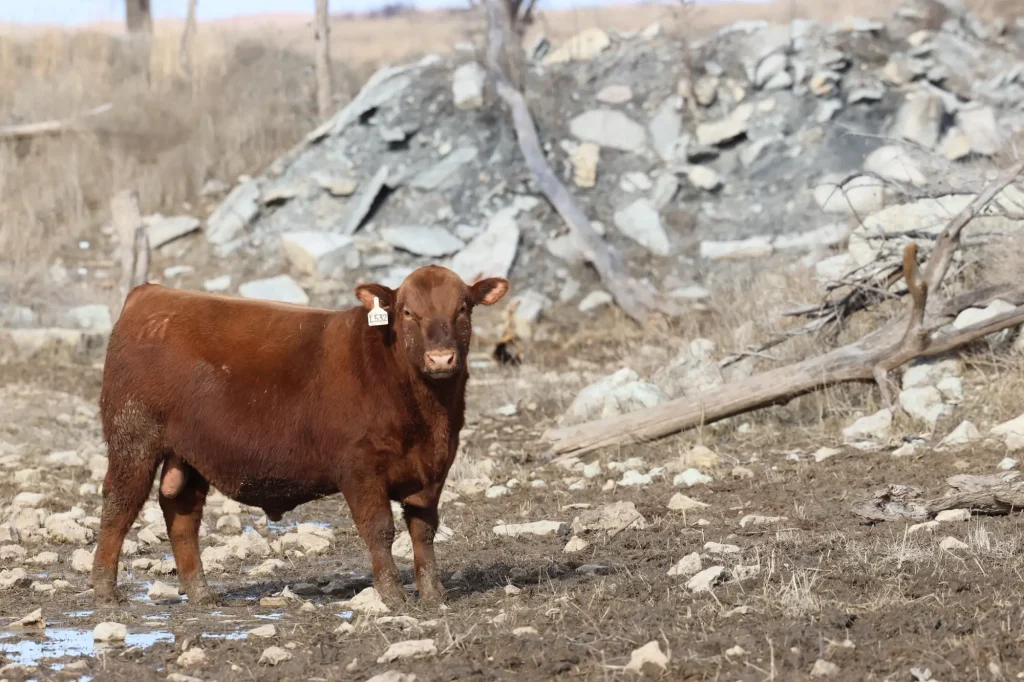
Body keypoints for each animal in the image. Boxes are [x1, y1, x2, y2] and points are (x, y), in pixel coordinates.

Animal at [89, 265, 509, 608]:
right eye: (408, 312)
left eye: (463, 308)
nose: (440, 358)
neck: (426, 414)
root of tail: (152, 293)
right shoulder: (360, 469)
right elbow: (380, 530)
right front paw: (391, 594)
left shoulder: (434, 469)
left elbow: (423, 531)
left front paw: (434, 593)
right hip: (133, 439)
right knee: (119, 506)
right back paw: (105, 590)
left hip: (190, 455)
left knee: (181, 513)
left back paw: (201, 593)